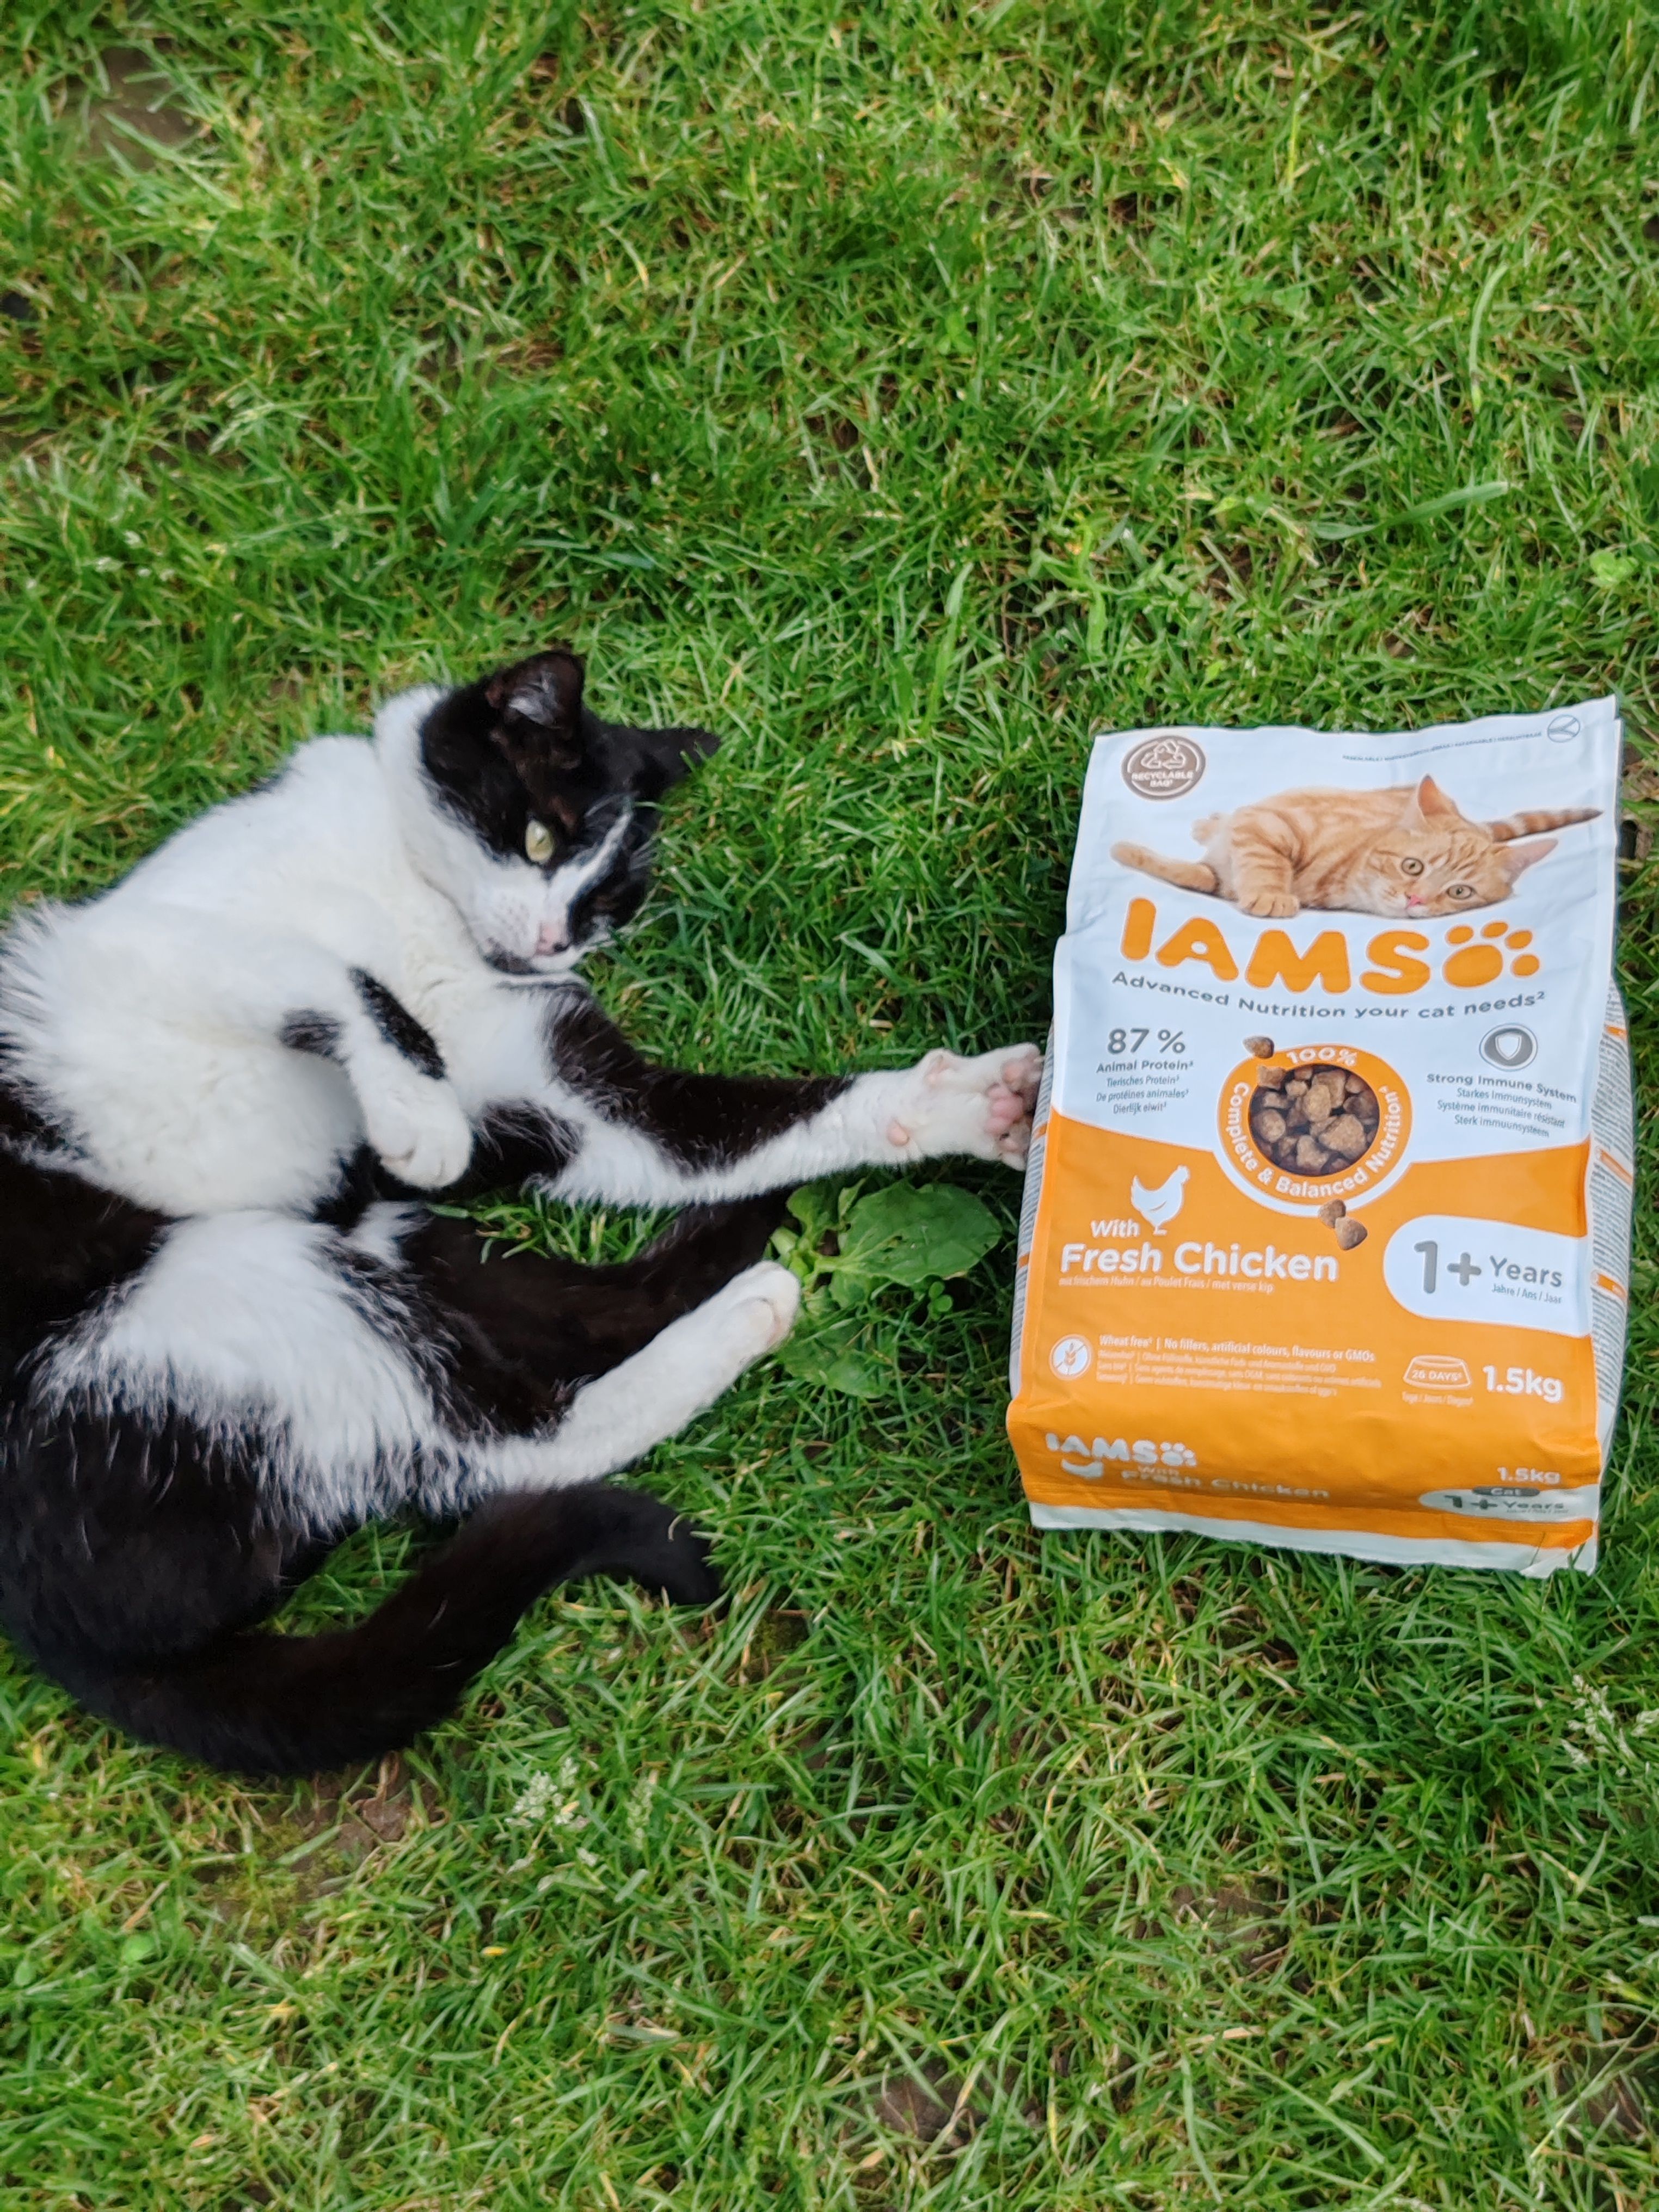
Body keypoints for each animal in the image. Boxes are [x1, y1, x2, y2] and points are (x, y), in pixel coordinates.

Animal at [0, 649, 1039, 1775]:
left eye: (607, 901)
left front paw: (963, 1103)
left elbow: (693, 1132)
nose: (551, 938)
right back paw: (748, 1300)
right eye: (540, 835)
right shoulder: (141, 948)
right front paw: (420, 1116)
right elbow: (334, 974)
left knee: (542, 1363)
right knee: (490, 1451)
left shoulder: (551, 1080)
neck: (429, 917)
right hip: (223, 1309)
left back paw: (749, 1264)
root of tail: (60, 1627)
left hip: (352, 1257)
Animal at [1111, 774, 1599, 920]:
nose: (1416, 900)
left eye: (1460, 892)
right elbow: (1259, 860)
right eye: (1413, 867)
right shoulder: (1267, 822)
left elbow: (1196, 875)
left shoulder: (1222, 874)